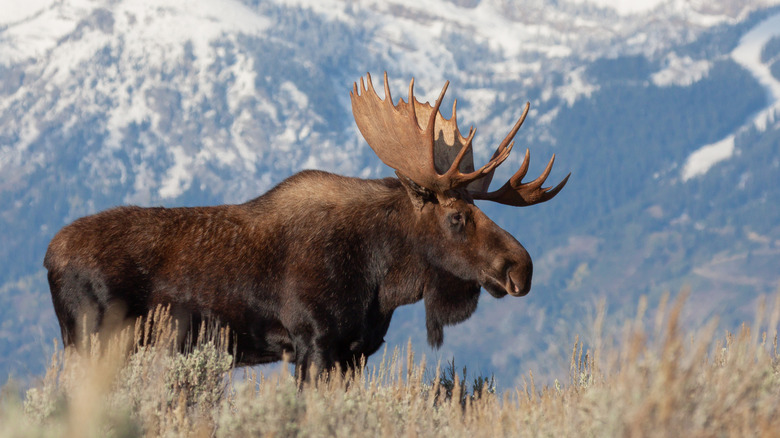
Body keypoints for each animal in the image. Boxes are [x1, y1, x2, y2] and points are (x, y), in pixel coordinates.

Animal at [44, 73, 569, 379]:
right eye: (457, 216)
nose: (522, 268)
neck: (382, 280)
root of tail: (47, 256)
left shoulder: (356, 351)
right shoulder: (314, 342)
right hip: (92, 341)